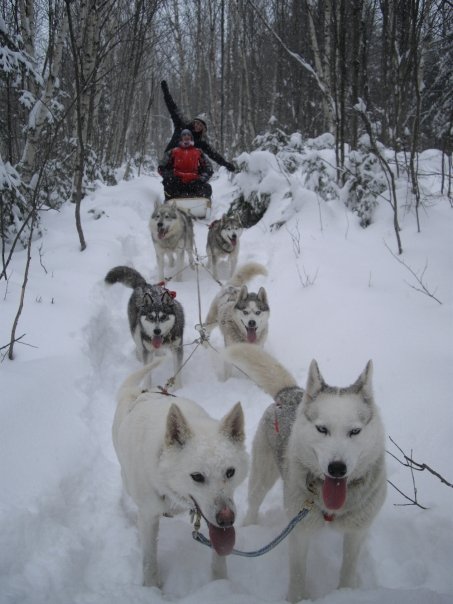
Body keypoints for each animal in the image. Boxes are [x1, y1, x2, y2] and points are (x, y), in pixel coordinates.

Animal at [112, 362, 249, 589]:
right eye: (197, 476)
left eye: (230, 472)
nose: (227, 520)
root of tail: (136, 392)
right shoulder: (148, 517)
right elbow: (149, 560)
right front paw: (152, 589)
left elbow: (219, 555)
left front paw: (219, 583)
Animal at [225, 344, 387, 602]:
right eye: (322, 429)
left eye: (354, 431)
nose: (337, 468)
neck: (331, 509)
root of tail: (291, 393)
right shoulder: (299, 531)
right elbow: (298, 573)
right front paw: (298, 598)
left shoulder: (357, 532)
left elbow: (348, 569)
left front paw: (347, 593)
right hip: (263, 476)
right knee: (253, 504)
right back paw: (250, 527)